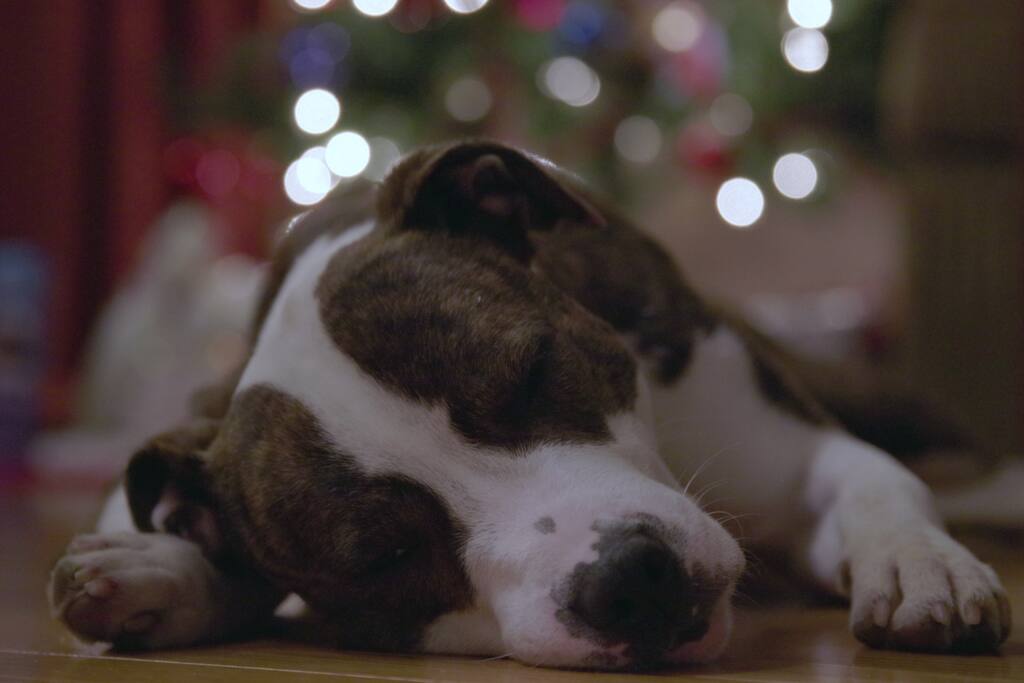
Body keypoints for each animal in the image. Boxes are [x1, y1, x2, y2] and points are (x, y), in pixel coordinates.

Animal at [48, 141, 1012, 669]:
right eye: (387, 555)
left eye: (536, 371)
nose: (630, 578)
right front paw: (161, 567)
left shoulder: (799, 453)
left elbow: (878, 487)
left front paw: (920, 564)